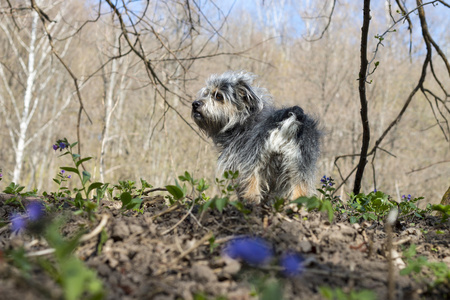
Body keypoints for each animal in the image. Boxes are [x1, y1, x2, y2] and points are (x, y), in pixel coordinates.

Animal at [192, 70, 322, 204]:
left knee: (252, 187)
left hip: (253, 161)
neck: (242, 120)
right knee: (300, 191)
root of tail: (290, 116)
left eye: (218, 96)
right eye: (206, 93)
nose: (195, 104)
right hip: (299, 165)